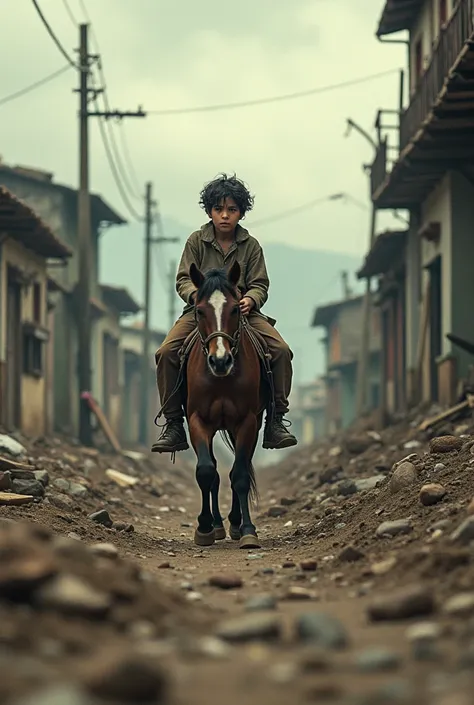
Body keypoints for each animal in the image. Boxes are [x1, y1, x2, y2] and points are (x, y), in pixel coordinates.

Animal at [187, 262, 262, 548]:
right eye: (199, 310)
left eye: (235, 309)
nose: (220, 361)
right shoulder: (197, 420)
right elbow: (207, 472)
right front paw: (204, 526)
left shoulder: (247, 422)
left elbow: (240, 475)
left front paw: (248, 529)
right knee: (215, 474)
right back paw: (218, 525)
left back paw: (235, 524)